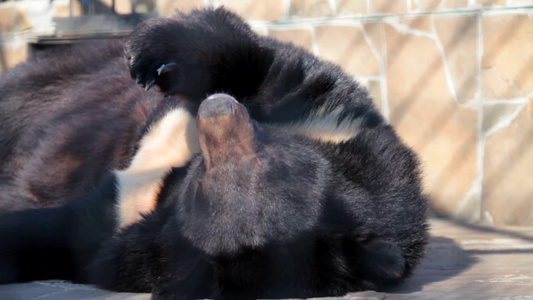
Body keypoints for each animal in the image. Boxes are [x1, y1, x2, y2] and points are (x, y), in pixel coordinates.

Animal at [0, 7, 426, 300]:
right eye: (274, 154)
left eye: (200, 189)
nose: (218, 109)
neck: (167, 179)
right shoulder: (332, 117)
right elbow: (256, 61)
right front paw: (147, 55)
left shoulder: (125, 229)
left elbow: (72, 237)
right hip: (57, 76)